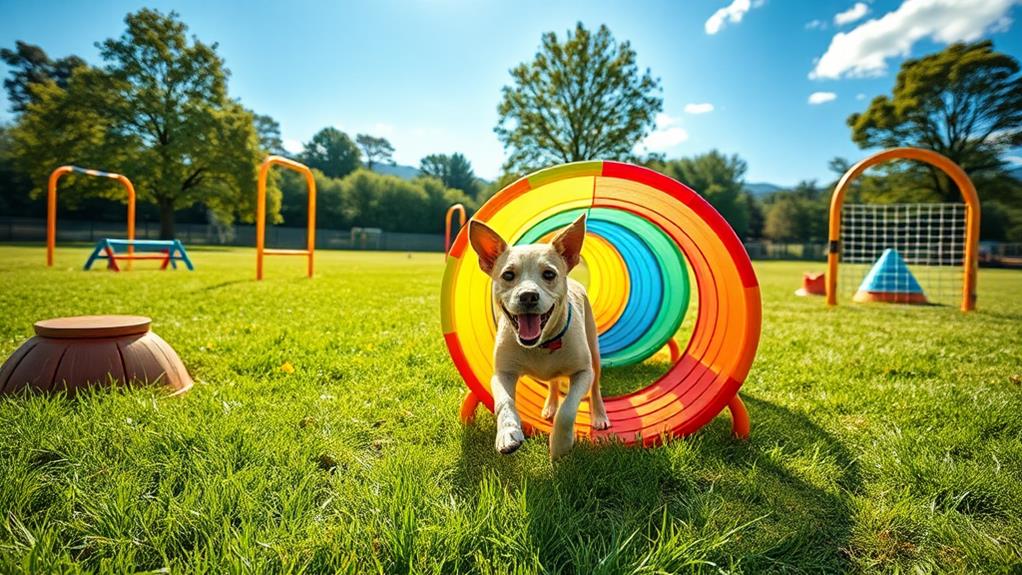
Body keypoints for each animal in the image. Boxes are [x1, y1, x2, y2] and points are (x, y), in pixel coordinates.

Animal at [468, 213, 609, 461]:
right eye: (508, 275)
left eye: (549, 274)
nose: (528, 295)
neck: (541, 344)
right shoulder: (502, 373)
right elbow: (504, 402)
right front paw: (508, 434)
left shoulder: (583, 372)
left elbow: (568, 407)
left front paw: (560, 444)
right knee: (553, 383)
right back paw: (549, 406)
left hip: (594, 351)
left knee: (595, 388)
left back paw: (599, 416)